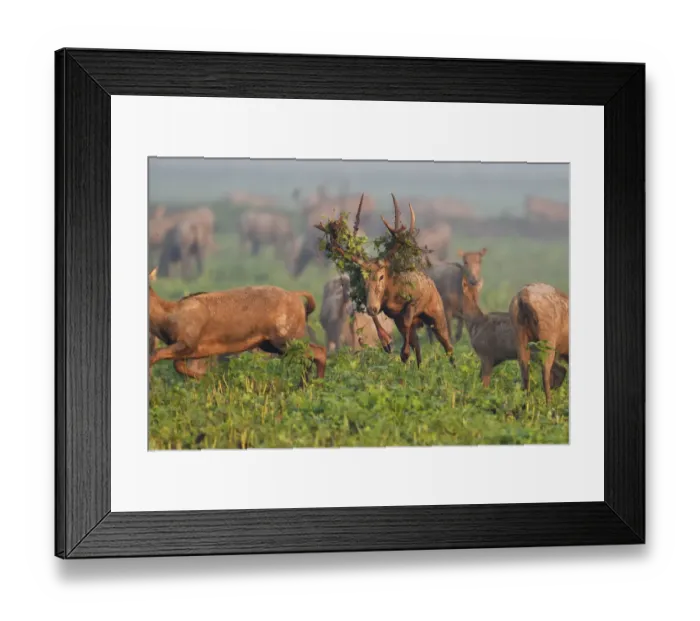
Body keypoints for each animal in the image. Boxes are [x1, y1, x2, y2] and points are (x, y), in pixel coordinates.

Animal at [147, 268, 326, 386]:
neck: (166, 319)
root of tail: (297, 297)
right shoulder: (193, 350)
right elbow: (178, 366)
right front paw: (210, 378)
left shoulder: (188, 343)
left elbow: (155, 355)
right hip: (270, 343)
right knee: (310, 357)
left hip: (286, 337)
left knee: (319, 352)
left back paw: (315, 385)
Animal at [315, 193, 454, 368]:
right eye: (363, 277)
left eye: (381, 276)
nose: (372, 307)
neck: (393, 294)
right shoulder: (384, 309)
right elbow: (377, 318)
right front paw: (387, 343)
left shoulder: (414, 301)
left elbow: (407, 318)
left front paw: (402, 352)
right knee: (418, 346)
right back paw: (419, 367)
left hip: (437, 313)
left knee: (447, 344)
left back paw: (452, 366)